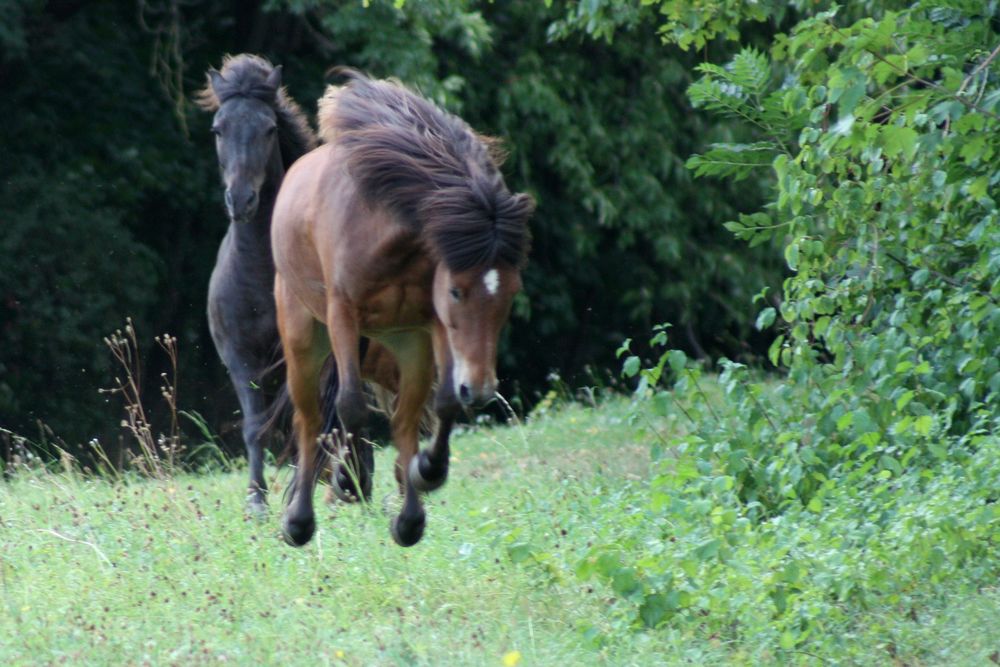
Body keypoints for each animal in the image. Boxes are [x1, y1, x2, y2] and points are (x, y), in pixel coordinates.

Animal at [270, 69, 536, 548]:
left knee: (406, 419)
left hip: (406, 345)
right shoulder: (343, 315)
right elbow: (350, 407)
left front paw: (428, 470)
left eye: (509, 295)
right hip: (305, 337)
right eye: (457, 292)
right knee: (309, 417)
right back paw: (300, 520)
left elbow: (443, 404)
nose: (481, 389)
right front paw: (345, 481)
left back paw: (409, 517)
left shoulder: (432, 327)